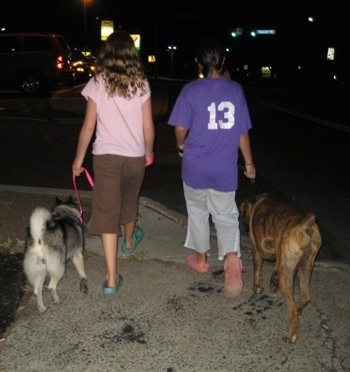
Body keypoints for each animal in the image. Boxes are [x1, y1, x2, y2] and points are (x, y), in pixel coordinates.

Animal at [242, 195, 322, 342]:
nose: (245, 227)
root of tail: (305, 224)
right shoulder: (279, 254)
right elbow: (276, 265)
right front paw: (273, 279)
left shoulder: (257, 250)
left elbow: (257, 270)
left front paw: (257, 287)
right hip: (306, 266)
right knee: (305, 297)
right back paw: (299, 309)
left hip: (287, 276)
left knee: (292, 309)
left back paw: (291, 335)